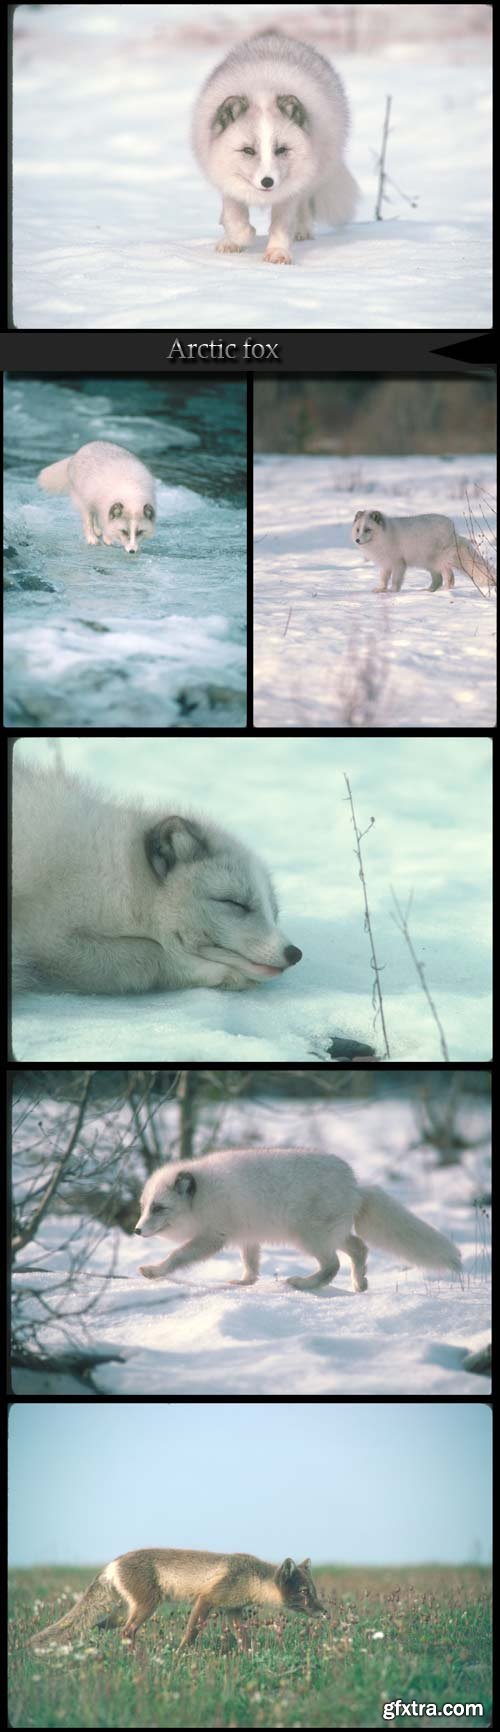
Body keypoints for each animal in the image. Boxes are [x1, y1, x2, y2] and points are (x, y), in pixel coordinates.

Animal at [11, 762, 299, 997]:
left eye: (274, 914)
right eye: (234, 903)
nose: (294, 953)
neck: (122, 876)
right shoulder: (47, 936)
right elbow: (149, 954)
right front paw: (217, 973)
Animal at [29, 1558, 325, 1648]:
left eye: (314, 1591)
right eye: (304, 1591)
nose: (325, 1613)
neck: (251, 1578)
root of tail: (112, 1563)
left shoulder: (232, 1610)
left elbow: (244, 1637)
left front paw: (249, 1655)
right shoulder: (207, 1599)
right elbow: (191, 1632)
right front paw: (182, 1653)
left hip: (121, 1612)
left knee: (100, 1627)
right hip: (146, 1607)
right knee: (127, 1631)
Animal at [133, 1143, 460, 1295]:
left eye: (159, 1208)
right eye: (144, 1206)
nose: (136, 1231)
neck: (202, 1197)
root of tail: (355, 1187)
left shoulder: (212, 1236)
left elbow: (178, 1255)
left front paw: (154, 1271)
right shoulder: (247, 1234)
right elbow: (251, 1263)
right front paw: (245, 1282)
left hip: (309, 1237)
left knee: (332, 1265)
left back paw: (303, 1284)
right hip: (333, 1234)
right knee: (359, 1248)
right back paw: (359, 1283)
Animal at [190, 29, 358, 263]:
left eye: (281, 149)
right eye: (248, 150)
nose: (267, 181)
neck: (262, 89)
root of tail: (277, 37)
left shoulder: (289, 192)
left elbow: (281, 226)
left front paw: (278, 253)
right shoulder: (227, 181)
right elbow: (235, 219)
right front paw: (240, 238)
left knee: (304, 206)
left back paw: (302, 230)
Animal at [349, 505, 494, 595]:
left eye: (368, 529)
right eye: (358, 529)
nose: (357, 540)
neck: (384, 536)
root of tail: (453, 531)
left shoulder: (398, 563)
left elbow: (395, 580)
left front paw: (392, 591)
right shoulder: (385, 564)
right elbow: (383, 579)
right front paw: (381, 589)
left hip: (439, 561)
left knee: (449, 576)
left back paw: (445, 590)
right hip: (429, 564)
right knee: (438, 579)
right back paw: (428, 591)